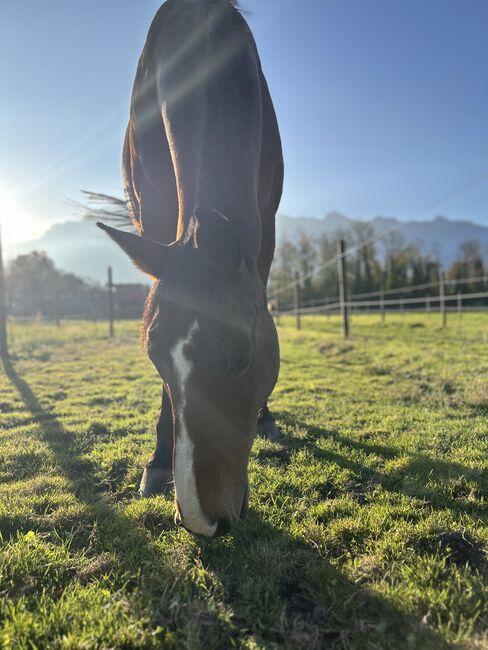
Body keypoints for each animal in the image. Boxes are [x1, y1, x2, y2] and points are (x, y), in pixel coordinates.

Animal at [97, 0, 284, 536]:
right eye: (155, 359)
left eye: (242, 357)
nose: (204, 520)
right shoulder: (155, 213)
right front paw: (159, 461)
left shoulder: (266, 220)